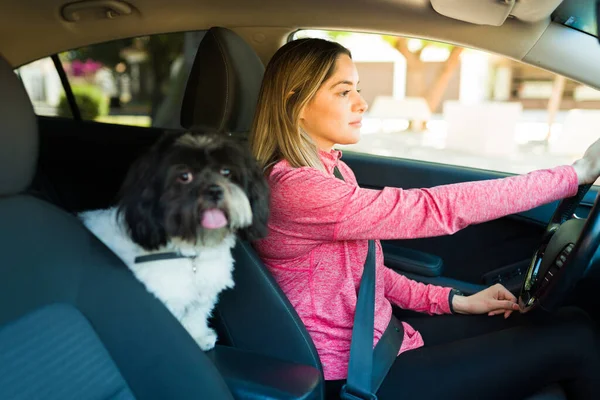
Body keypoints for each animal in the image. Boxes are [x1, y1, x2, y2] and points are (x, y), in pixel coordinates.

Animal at [79, 131, 270, 350]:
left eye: (226, 171)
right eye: (184, 176)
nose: (215, 190)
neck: (191, 253)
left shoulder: (204, 292)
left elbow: (196, 315)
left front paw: (198, 336)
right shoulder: (168, 296)